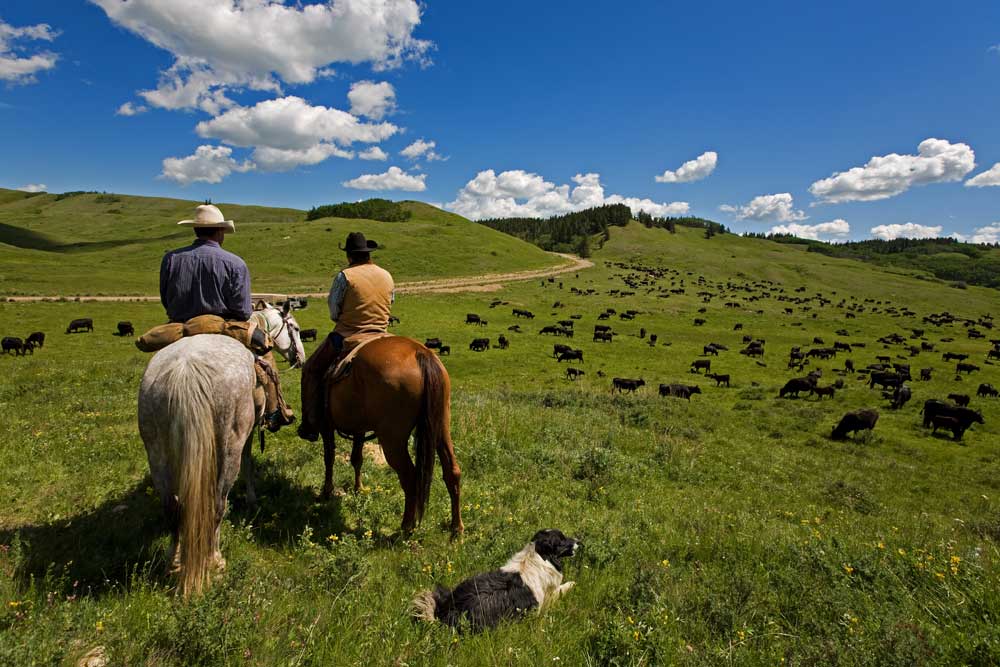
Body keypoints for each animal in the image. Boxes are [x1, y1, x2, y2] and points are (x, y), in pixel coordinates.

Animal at [139, 336, 262, 596]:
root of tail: (186, 372)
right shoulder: (246, 436)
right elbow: (248, 462)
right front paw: (252, 497)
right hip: (229, 450)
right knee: (217, 507)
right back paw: (214, 559)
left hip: (156, 453)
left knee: (172, 509)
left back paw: (174, 561)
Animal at [318, 336, 462, 536]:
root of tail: (421, 353)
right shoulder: (359, 429)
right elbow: (356, 458)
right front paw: (358, 488)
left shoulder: (326, 426)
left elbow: (329, 458)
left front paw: (327, 491)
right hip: (441, 427)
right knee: (452, 471)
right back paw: (456, 528)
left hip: (392, 441)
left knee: (409, 477)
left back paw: (406, 527)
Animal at [412, 528, 584, 636]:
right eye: (562, 540)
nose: (579, 541)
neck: (537, 556)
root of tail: (449, 611)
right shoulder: (546, 599)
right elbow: (562, 589)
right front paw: (573, 584)